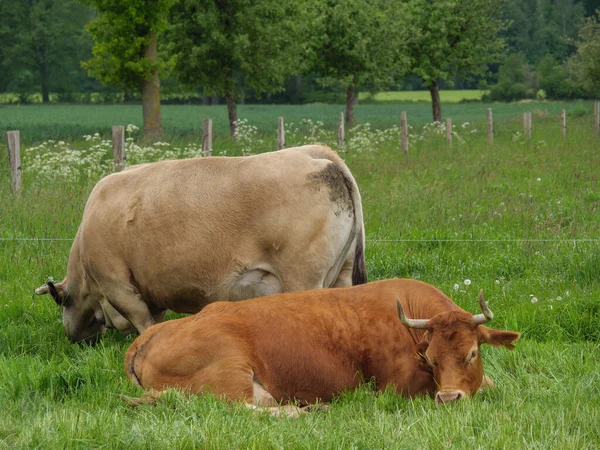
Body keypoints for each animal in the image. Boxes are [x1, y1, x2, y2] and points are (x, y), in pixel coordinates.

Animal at [37, 146, 368, 342]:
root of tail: (316, 153)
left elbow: (144, 322)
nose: (73, 338)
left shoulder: (117, 284)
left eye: (62, 301)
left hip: (303, 278)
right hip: (342, 273)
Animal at [123, 278, 520, 414]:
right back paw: (308, 411)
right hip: (230, 373)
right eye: (432, 359)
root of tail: (149, 334)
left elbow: (490, 384)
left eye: (472, 354)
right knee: (241, 410)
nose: (449, 398)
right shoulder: (398, 388)